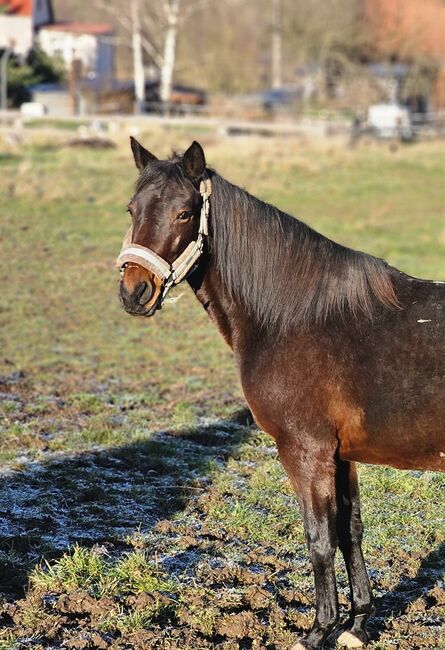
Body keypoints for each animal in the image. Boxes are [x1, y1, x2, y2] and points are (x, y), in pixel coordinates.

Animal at [117, 139, 444, 644]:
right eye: (133, 208)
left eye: (184, 213)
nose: (135, 291)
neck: (294, 317)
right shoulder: (340, 455)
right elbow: (350, 530)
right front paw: (358, 625)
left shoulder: (304, 451)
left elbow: (319, 539)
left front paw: (318, 631)